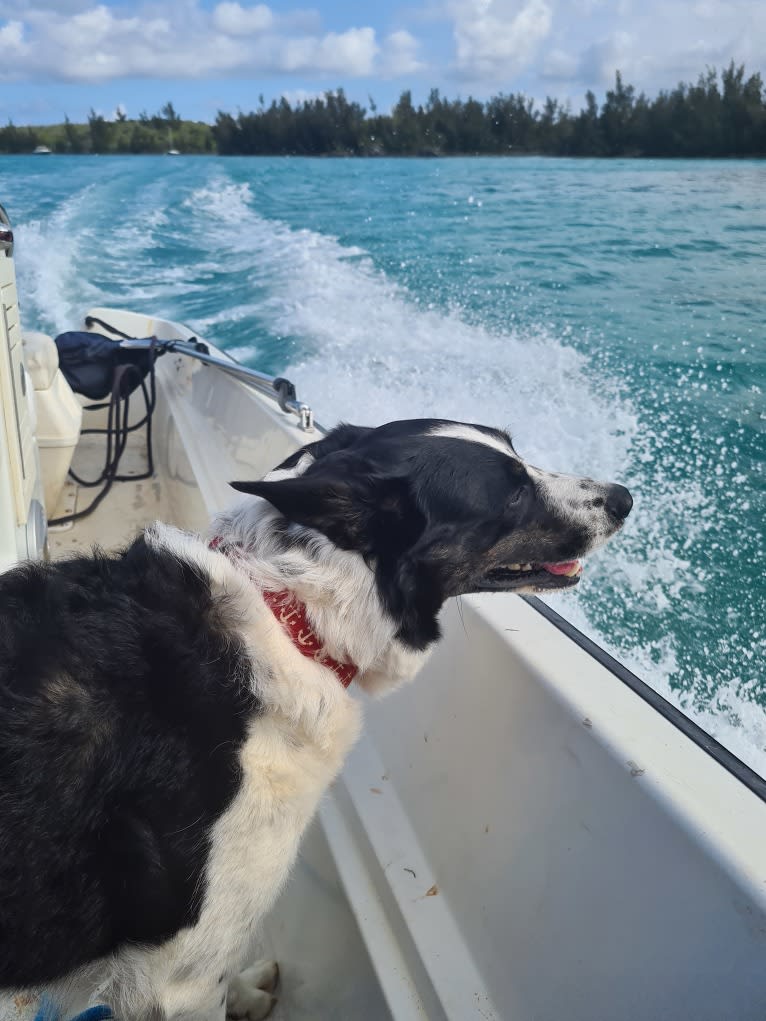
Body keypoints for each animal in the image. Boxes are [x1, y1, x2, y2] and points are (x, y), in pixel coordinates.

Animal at [0, 418, 637, 1016]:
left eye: (516, 450)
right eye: (510, 494)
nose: (624, 497)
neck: (290, 611)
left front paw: (248, 992)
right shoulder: (179, 981)